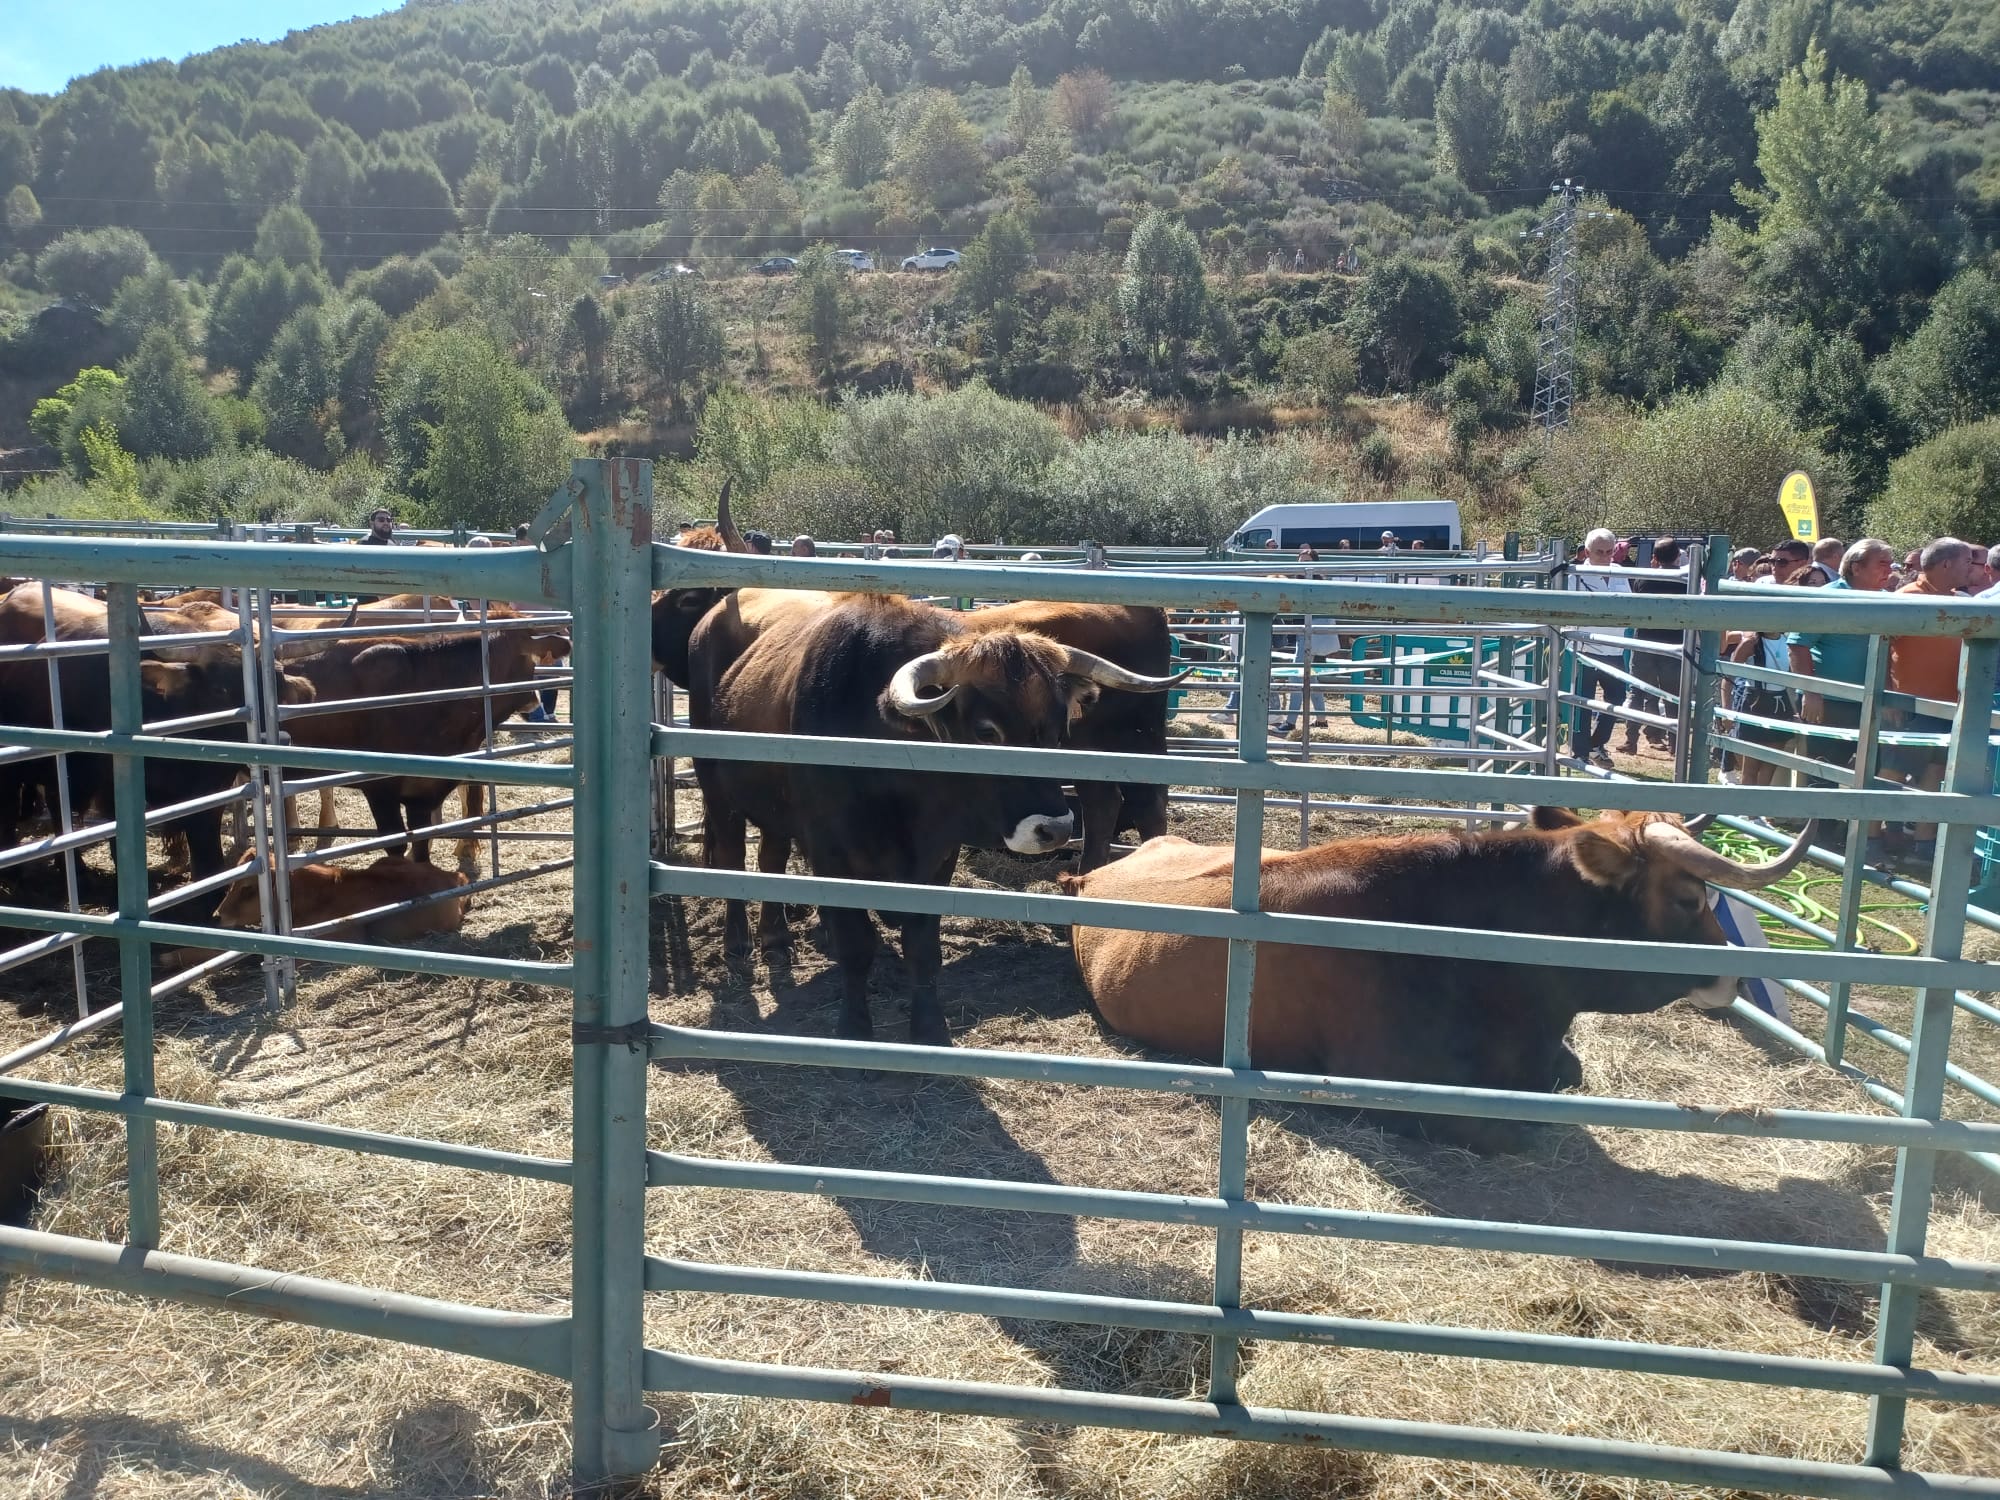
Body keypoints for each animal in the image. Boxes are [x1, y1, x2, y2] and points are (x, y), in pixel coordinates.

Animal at [696, 592, 1184, 1048]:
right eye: (986, 732)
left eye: (1058, 729)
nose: (1055, 830)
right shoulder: (830, 854)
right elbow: (855, 945)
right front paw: (854, 1028)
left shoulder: (938, 857)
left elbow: (923, 947)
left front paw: (930, 1029)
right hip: (715, 789)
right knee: (733, 857)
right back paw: (738, 942)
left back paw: (775, 940)